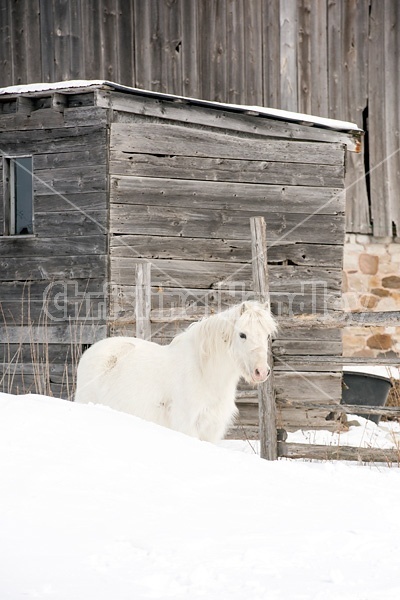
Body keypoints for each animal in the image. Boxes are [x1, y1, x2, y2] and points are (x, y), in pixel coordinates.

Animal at [75, 302, 276, 442]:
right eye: (242, 335)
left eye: (267, 336)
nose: (261, 371)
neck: (204, 374)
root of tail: (90, 352)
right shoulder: (187, 426)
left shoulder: (212, 431)